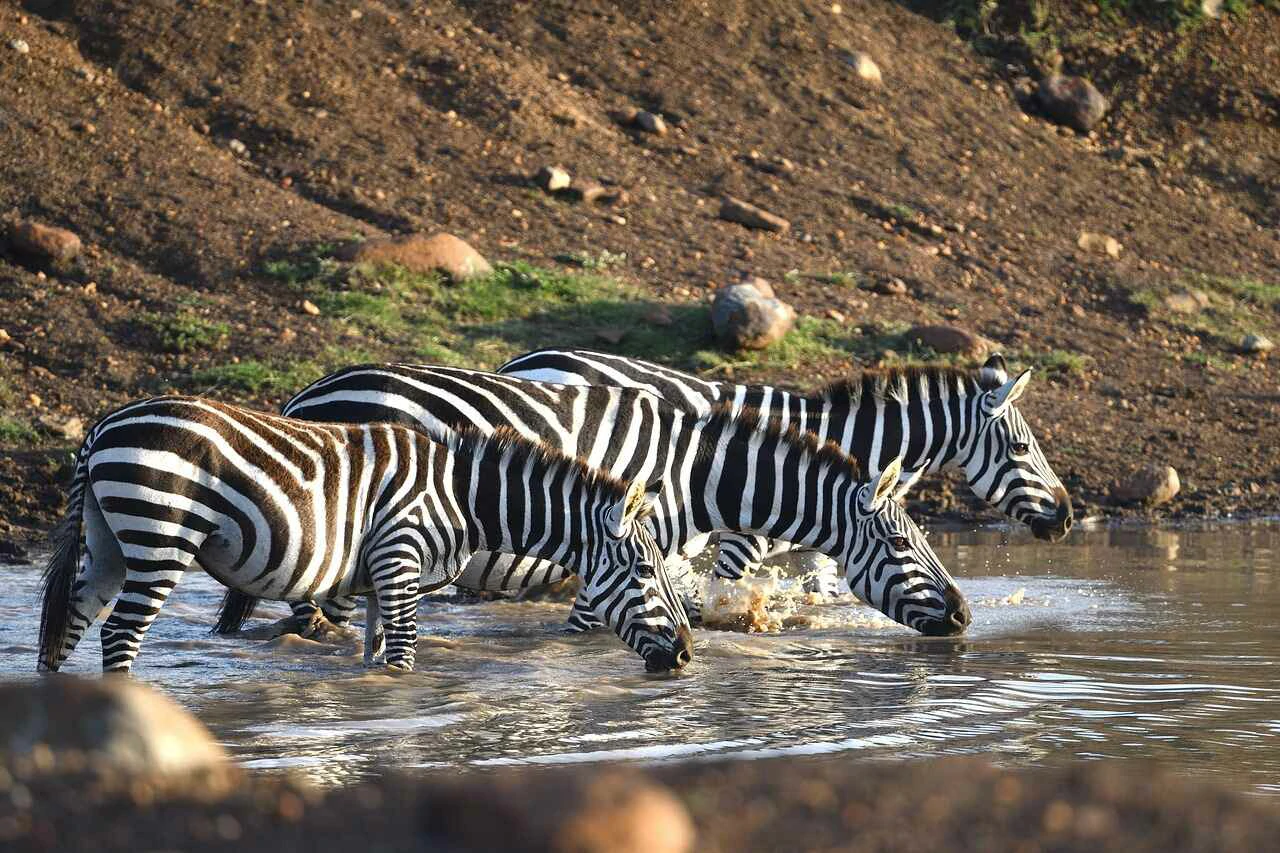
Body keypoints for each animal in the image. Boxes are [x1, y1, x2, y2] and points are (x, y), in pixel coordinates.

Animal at [35, 397, 691, 671]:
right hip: (160, 537)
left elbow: (374, 658)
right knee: (119, 633)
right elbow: (403, 655)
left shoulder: (377, 578)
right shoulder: (399, 560)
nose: (686, 655)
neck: (464, 495)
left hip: (109, 545)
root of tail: (101, 428)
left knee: (68, 624)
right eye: (644, 571)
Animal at [212, 361, 967, 635]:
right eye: (902, 544)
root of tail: (305, 394)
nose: (963, 617)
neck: (693, 474)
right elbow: (590, 628)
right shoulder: (621, 550)